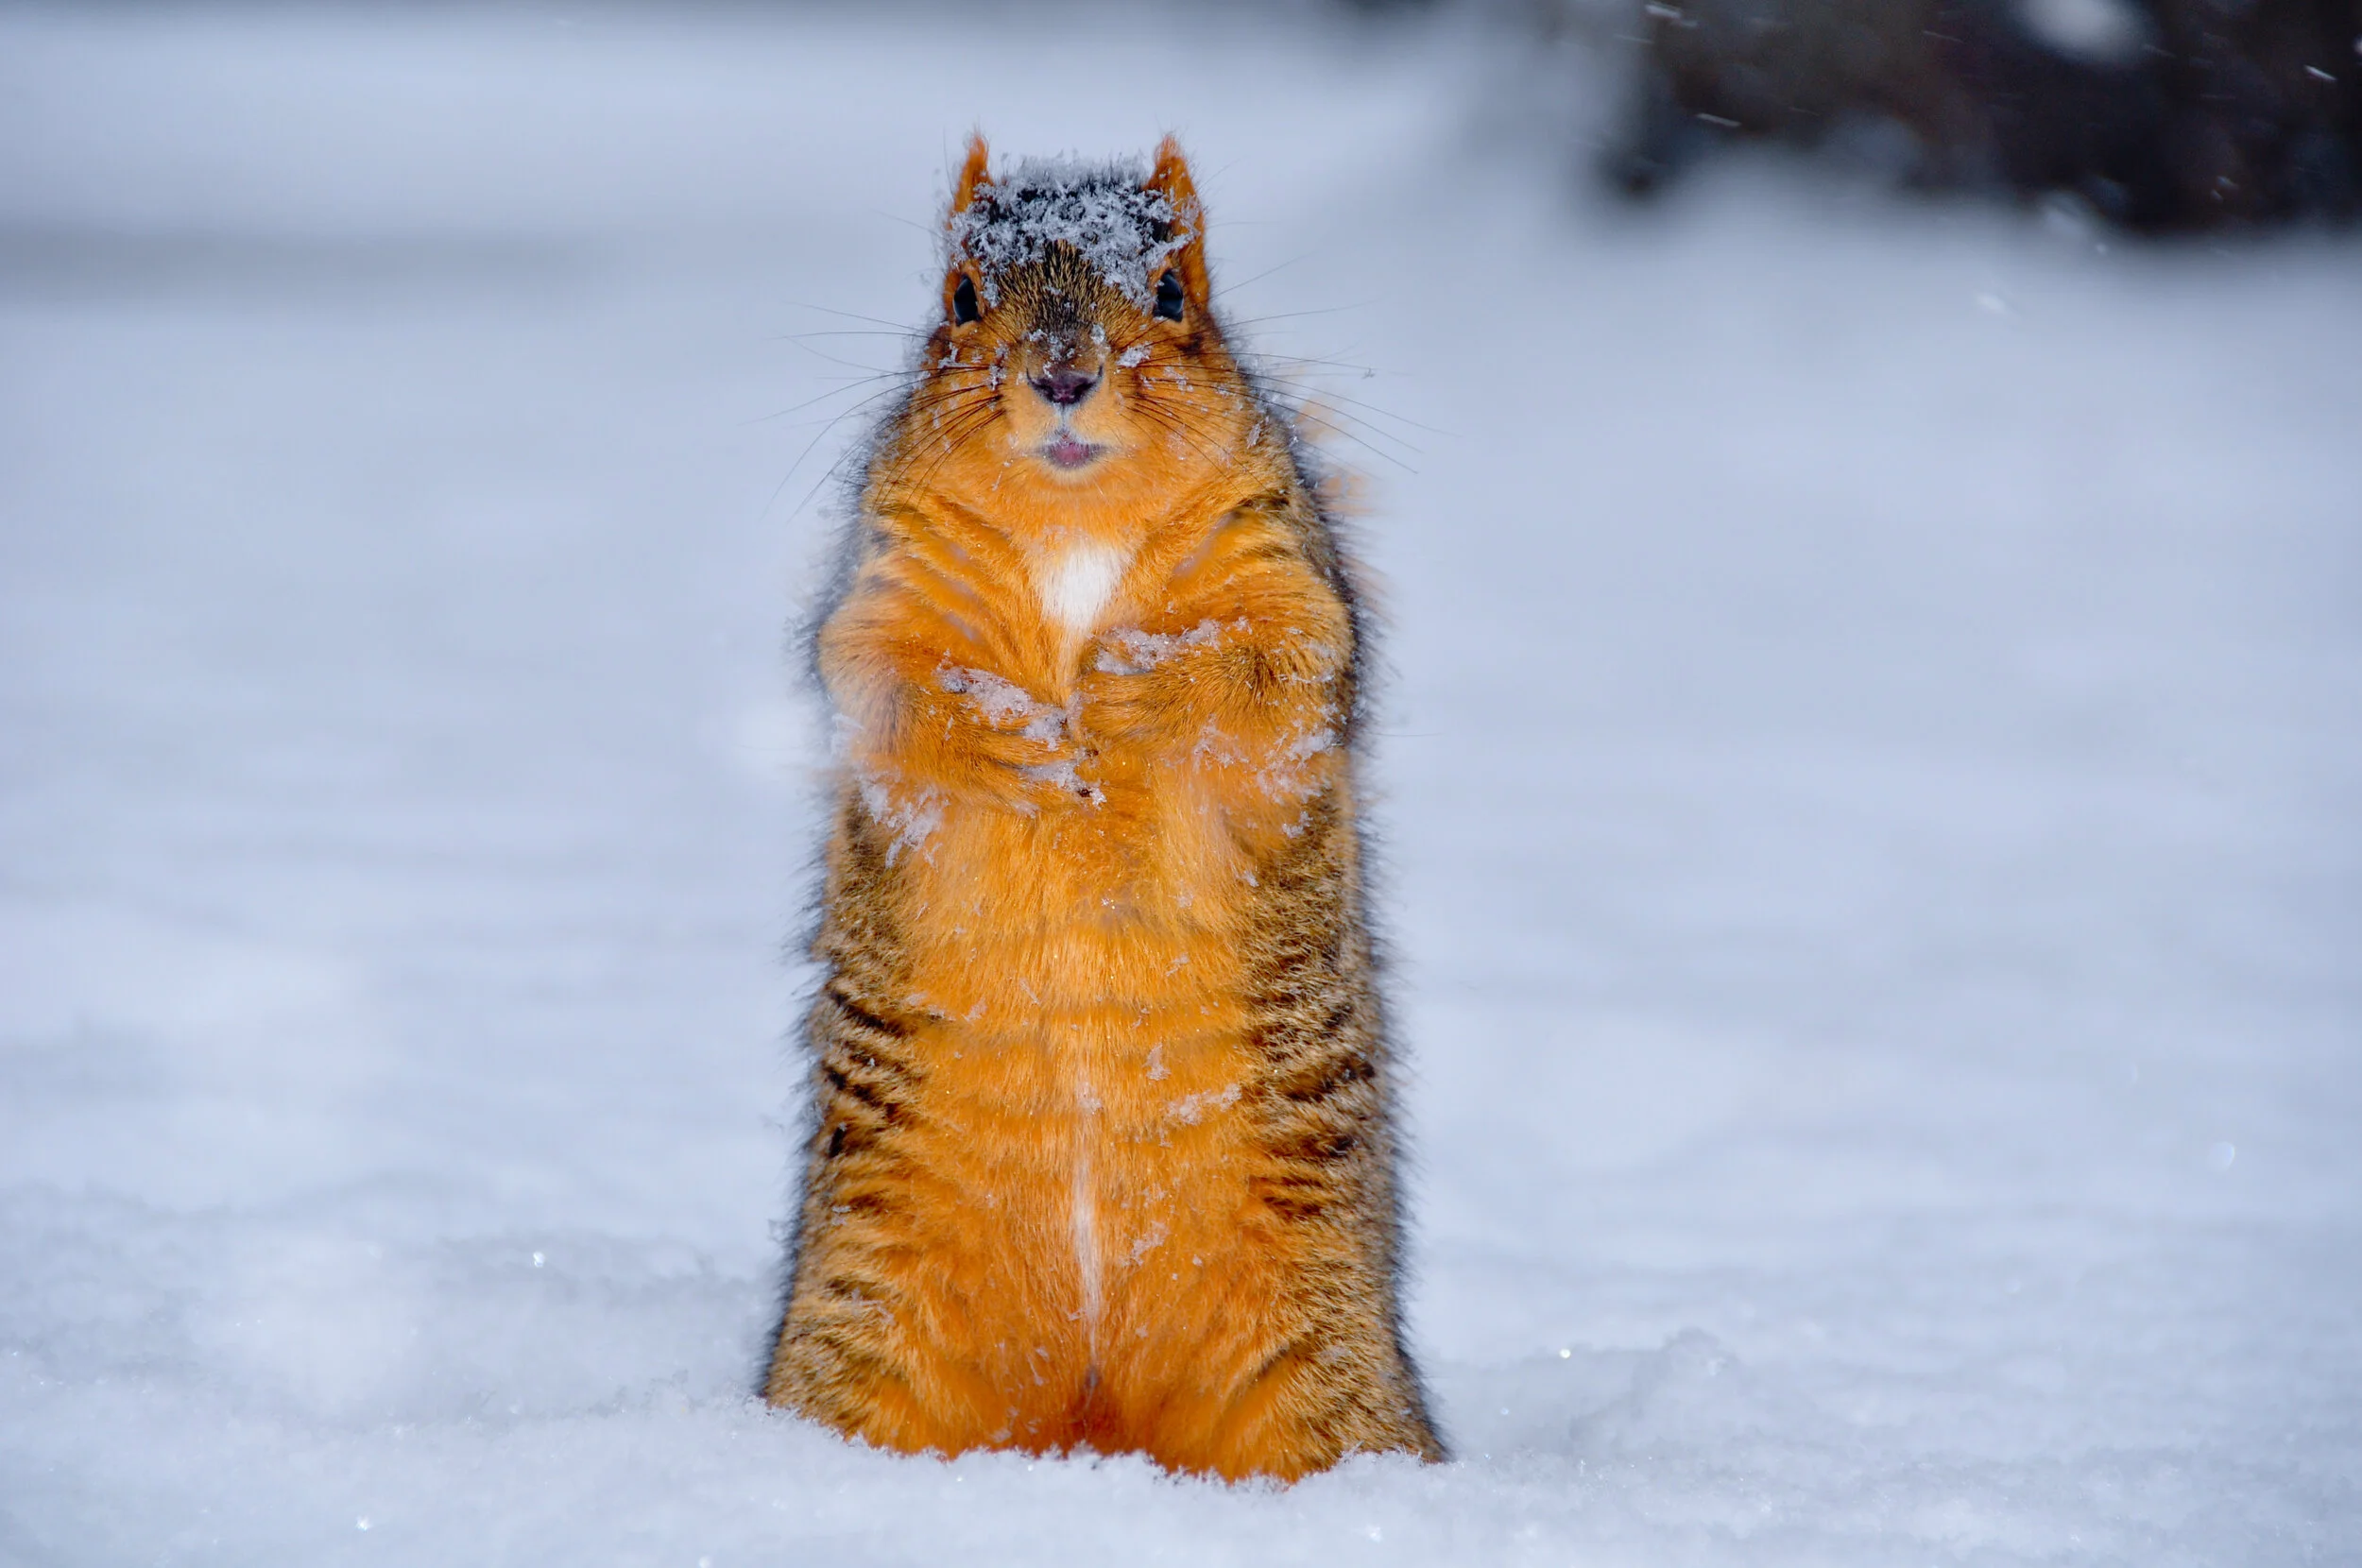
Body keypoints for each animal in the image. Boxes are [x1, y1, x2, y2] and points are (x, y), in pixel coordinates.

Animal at [762, 136, 1443, 1482]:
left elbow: (1274, 676)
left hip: (1321, 1385)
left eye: (1176, 293)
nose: (1065, 375)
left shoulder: (1292, 581)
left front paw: (1136, 690)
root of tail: (1088, 1422)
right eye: (961, 296)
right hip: (858, 1346)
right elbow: (880, 684)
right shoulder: (881, 587)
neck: (1075, 530)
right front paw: (1008, 732)